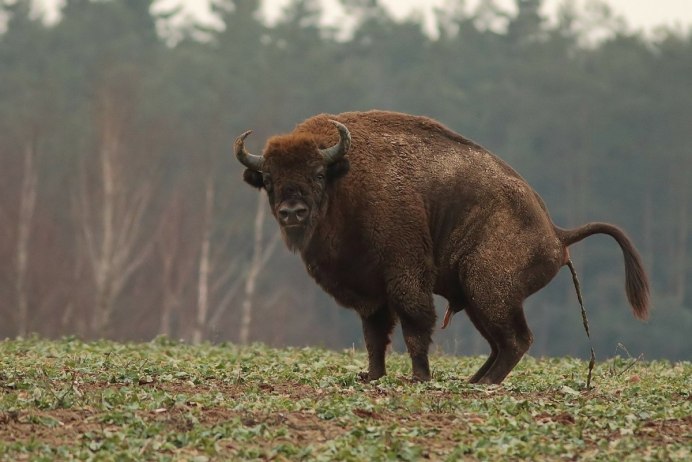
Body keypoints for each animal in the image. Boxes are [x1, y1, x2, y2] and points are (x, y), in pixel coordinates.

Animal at [234, 110, 649, 384]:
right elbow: (374, 335)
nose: (292, 212)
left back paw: (483, 384)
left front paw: (419, 377)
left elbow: (415, 327)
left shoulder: (405, 275)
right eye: (268, 178)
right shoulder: (370, 292)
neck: (348, 179)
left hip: (487, 288)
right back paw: (473, 381)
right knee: (501, 344)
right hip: (478, 300)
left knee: (516, 340)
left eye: (318, 174)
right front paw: (371, 376)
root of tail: (556, 233)